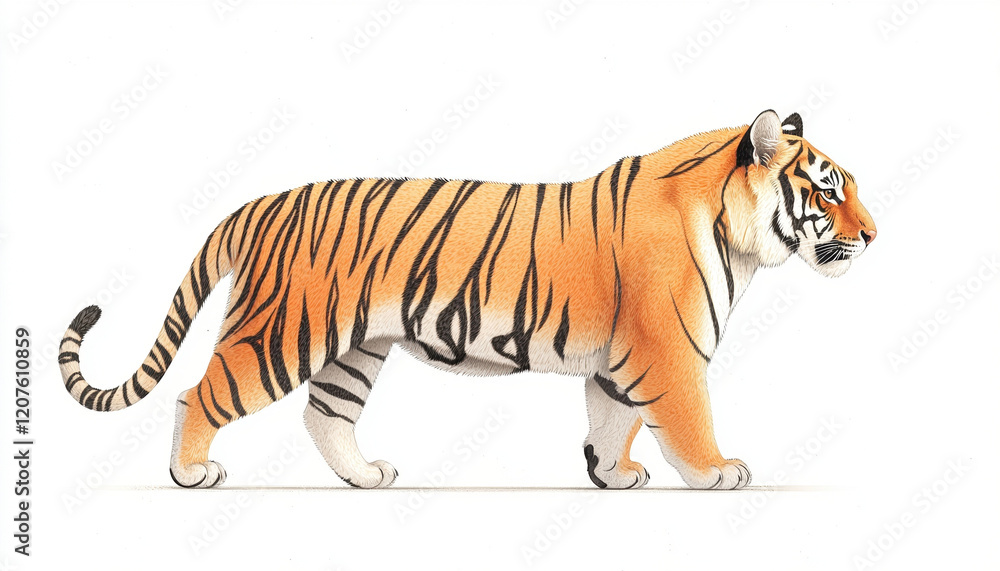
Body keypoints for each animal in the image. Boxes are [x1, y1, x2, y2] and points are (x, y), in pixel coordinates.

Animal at [59, 109, 876, 490]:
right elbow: (686, 422)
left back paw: (366, 477)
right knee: (200, 393)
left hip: (353, 349)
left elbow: (611, 422)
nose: (874, 234)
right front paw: (718, 472)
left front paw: (612, 475)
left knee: (325, 416)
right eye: (829, 189)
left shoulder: (621, 360)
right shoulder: (667, 353)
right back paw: (191, 473)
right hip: (280, 334)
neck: (735, 234)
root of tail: (261, 204)